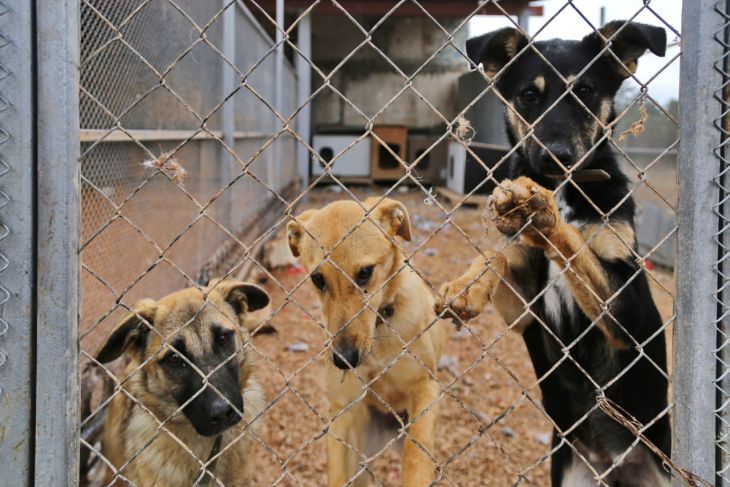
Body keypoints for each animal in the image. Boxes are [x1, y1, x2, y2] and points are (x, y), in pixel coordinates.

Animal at [287, 197, 445, 486]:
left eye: (364, 273)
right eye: (318, 279)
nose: (343, 360)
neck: (378, 335)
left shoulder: (425, 388)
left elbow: (416, 458)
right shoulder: (344, 411)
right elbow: (337, 474)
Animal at [436, 21, 670, 486]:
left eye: (586, 91)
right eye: (529, 94)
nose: (555, 157)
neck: (563, 187)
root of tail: (614, 466)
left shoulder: (627, 312)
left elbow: (578, 247)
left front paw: (544, 213)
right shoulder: (524, 312)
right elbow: (496, 256)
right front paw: (465, 288)